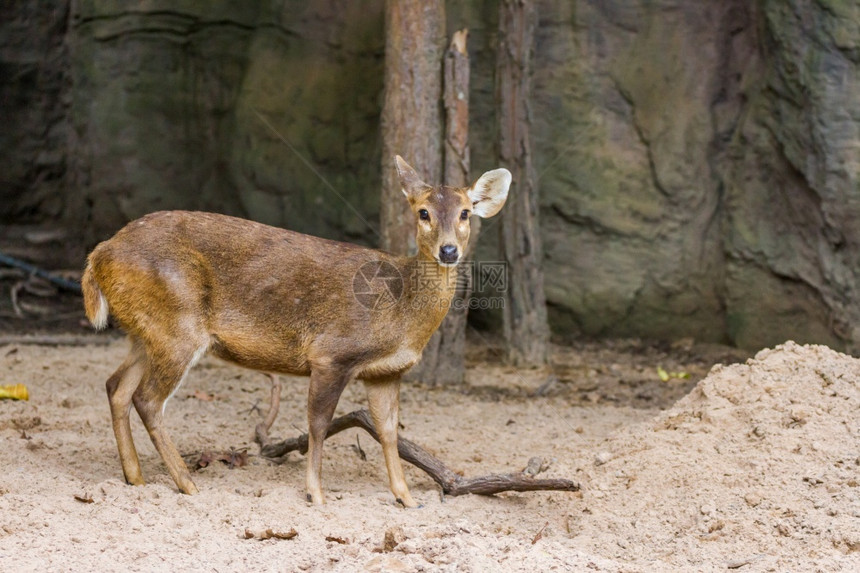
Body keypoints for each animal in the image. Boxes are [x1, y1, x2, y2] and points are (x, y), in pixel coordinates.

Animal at [80, 155, 510, 504]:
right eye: (423, 212)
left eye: (466, 213)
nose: (448, 251)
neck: (401, 313)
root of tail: (98, 255)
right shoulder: (331, 354)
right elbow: (318, 425)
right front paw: (316, 494)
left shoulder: (385, 372)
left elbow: (389, 431)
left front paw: (406, 498)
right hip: (177, 326)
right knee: (148, 399)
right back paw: (187, 483)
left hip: (145, 331)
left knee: (116, 386)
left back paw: (135, 477)